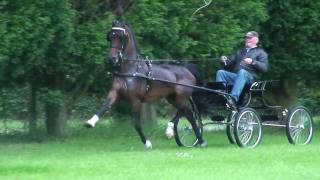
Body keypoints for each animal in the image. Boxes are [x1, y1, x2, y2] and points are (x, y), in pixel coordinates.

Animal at [84, 20, 208, 149]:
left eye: (121, 37)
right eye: (110, 36)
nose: (112, 59)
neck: (131, 70)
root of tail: (187, 70)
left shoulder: (136, 101)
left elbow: (137, 124)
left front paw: (147, 143)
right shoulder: (115, 93)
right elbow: (105, 106)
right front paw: (90, 122)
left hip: (181, 97)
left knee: (188, 114)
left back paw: (195, 138)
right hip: (172, 98)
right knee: (186, 113)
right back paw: (179, 133)